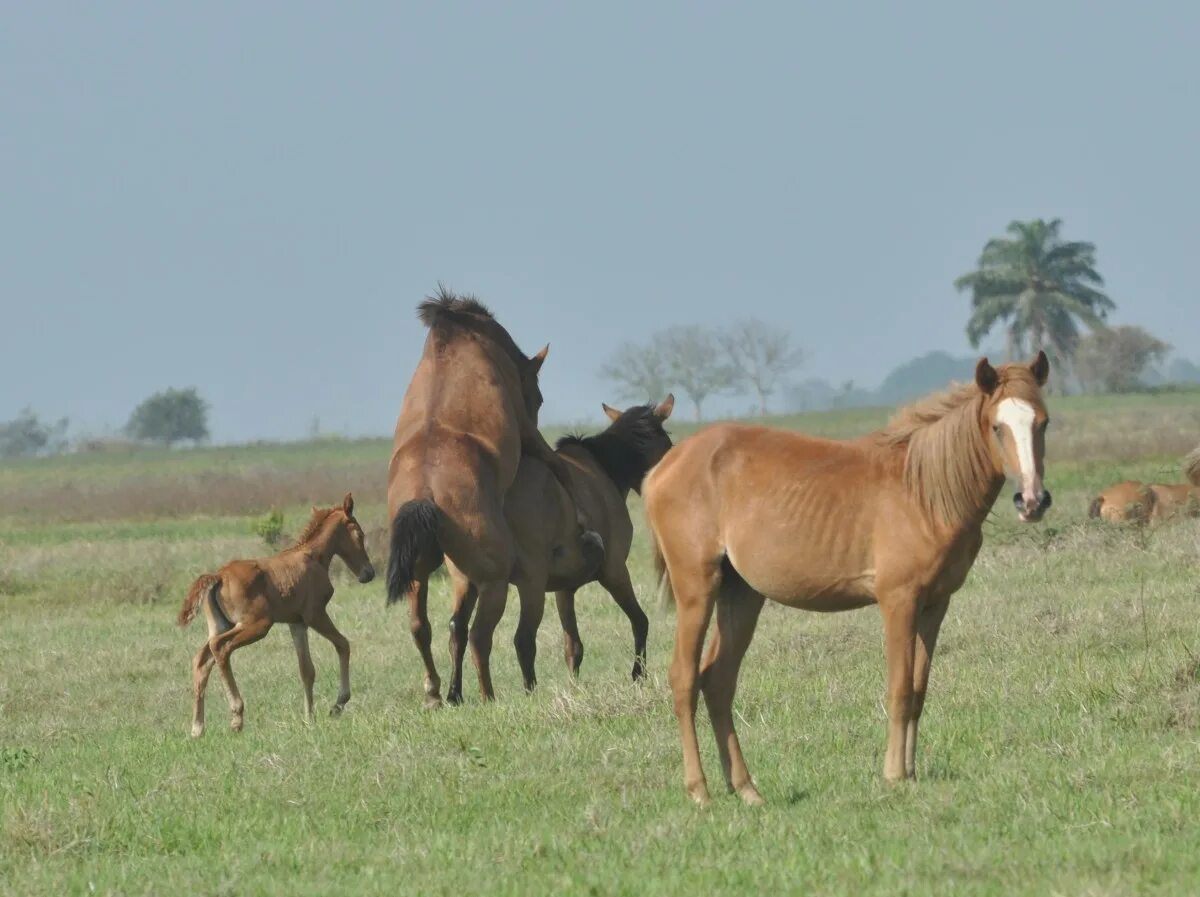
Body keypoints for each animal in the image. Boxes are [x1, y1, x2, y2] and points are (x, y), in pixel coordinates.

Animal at [176, 494, 374, 738]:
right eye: (360, 534)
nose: (369, 573)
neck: (313, 556)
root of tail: (219, 576)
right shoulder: (315, 614)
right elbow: (343, 644)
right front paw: (337, 705)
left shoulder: (296, 623)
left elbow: (307, 670)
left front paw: (309, 718)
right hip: (257, 625)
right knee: (220, 647)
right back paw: (236, 716)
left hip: (221, 625)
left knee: (202, 660)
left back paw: (197, 728)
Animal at [386, 287, 597, 709]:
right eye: (538, 398)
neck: (463, 335)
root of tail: (425, 496)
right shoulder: (527, 431)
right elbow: (558, 465)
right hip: (494, 581)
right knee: (480, 635)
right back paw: (486, 694)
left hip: (421, 574)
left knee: (423, 627)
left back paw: (437, 693)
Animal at [448, 393, 681, 700]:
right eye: (668, 444)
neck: (604, 468)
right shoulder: (615, 572)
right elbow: (640, 621)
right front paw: (637, 674)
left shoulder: (563, 589)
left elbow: (573, 647)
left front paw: (575, 687)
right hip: (525, 585)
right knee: (515, 638)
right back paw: (520, 693)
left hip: (467, 583)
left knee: (458, 630)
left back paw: (454, 695)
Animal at [648, 352, 1051, 805]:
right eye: (997, 427)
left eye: (1043, 422)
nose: (1032, 501)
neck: (923, 491)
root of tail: (664, 467)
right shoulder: (898, 600)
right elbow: (899, 688)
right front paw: (894, 775)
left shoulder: (935, 604)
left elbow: (919, 689)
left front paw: (911, 773)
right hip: (697, 589)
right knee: (684, 678)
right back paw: (699, 791)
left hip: (741, 595)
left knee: (717, 681)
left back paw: (747, 789)